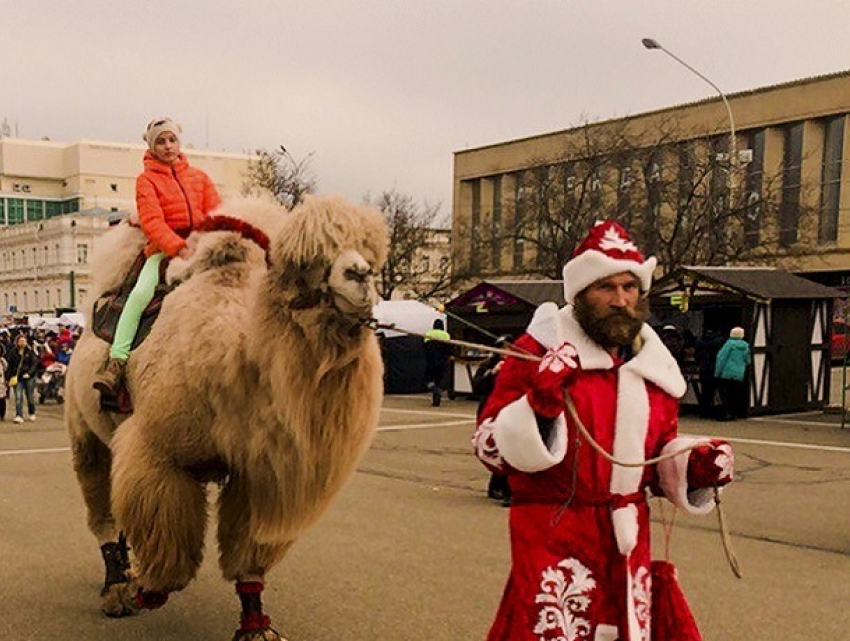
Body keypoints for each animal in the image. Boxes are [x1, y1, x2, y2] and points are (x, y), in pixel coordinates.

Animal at [67, 195, 390, 640]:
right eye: (306, 261)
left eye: (371, 255)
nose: (359, 275)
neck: (228, 357)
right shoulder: (158, 452)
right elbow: (169, 550)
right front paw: (147, 591)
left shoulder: (258, 474)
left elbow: (248, 554)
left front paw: (256, 627)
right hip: (85, 434)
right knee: (101, 510)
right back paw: (117, 590)